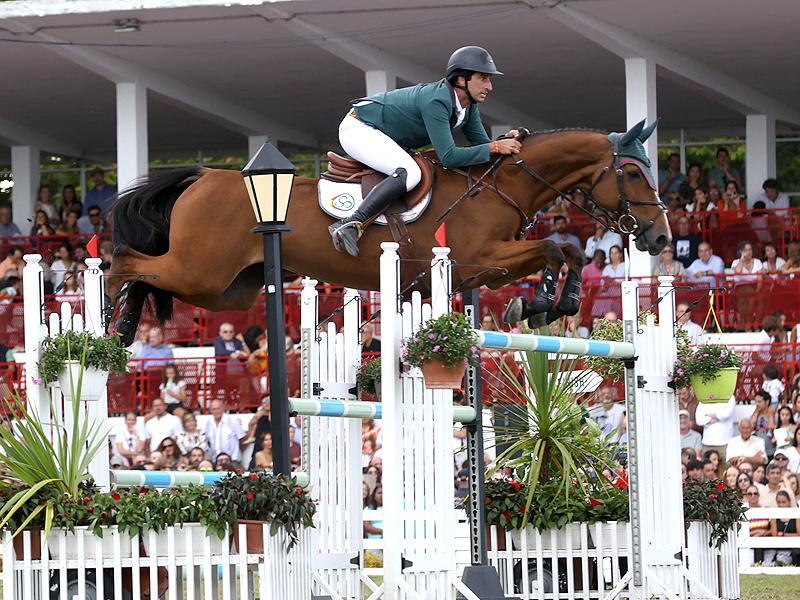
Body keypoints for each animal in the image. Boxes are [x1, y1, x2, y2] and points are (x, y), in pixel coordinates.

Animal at [108, 120, 670, 345]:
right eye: (633, 172)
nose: (661, 238)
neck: (501, 184)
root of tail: (205, 176)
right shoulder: (478, 258)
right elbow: (555, 246)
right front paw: (541, 303)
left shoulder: (484, 269)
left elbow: (565, 251)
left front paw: (545, 304)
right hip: (201, 271)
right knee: (129, 260)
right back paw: (111, 315)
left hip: (229, 291)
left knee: (151, 275)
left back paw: (126, 327)